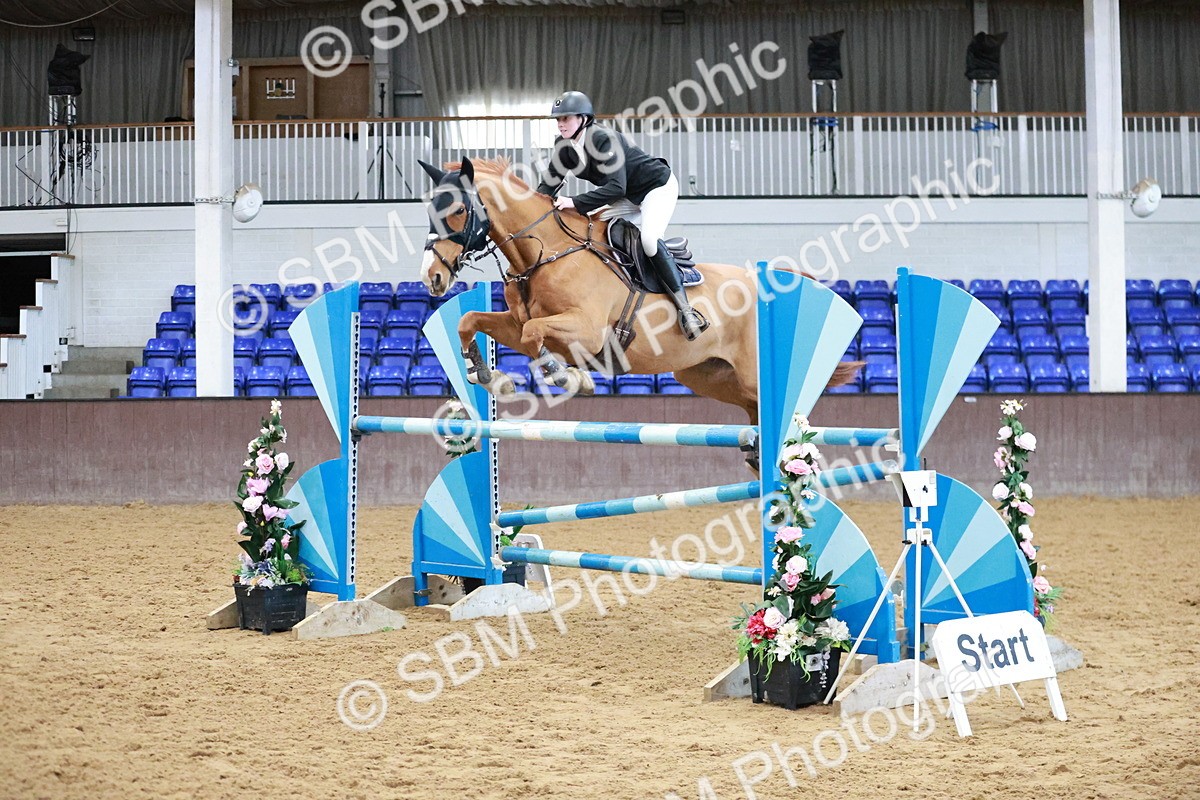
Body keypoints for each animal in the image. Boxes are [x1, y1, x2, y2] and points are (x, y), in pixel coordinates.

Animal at [416, 156, 861, 436]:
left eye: (458, 210)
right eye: (429, 211)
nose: (432, 277)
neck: (544, 253)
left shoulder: (587, 331)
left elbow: (534, 335)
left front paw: (567, 377)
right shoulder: (515, 321)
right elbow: (471, 321)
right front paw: (488, 375)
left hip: (747, 374)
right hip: (708, 376)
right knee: (753, 412)